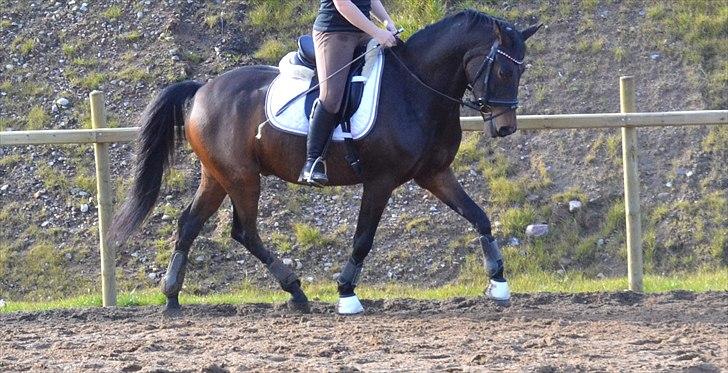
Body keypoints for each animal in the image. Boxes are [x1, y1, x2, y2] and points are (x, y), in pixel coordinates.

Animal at [108, 10, 540, 312]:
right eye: (504, 69)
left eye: (522, 71)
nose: (505, 128)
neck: (416, 88)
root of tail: (202, 88)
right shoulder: (381, 180)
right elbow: (363, 239)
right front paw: (347, 292)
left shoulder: (434, 173)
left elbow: (479, 216)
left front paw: (499, 280)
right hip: (242, 177)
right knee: (244, 231)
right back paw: (294, 289)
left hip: (217, 176)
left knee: (190, 224)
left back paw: (173, 297)